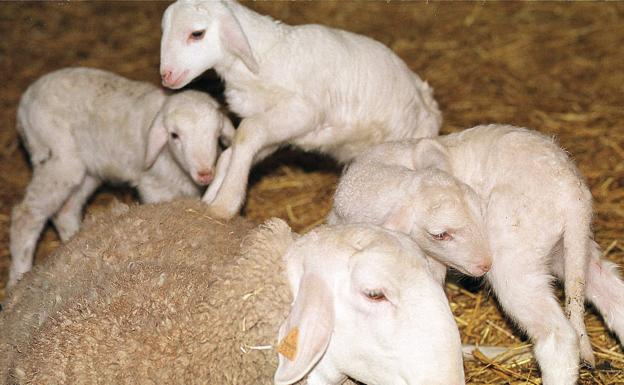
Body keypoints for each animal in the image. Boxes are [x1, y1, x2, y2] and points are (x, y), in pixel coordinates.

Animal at [9, 67, 234, 286]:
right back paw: (16, 278)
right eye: (174, 135)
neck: (175, 163)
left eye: (217, 134)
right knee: (25, 216)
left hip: (88, 169)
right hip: (55, 156)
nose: (205, 174)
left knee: (65, 210)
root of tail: (26, 100)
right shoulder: (153, 186)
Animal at [161, 0, 444, 219]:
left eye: (197, 33)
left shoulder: (304, 112)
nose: (166, 75)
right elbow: (235, 149)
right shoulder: (279, 130)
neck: (265, 56)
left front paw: (224, 204)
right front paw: (210, 198)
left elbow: (247, 132)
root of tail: (430, 106)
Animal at [332, 123, 624, 384]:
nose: (483, 265)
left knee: (558, 335)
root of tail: (572, 193)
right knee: (611, 294)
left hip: (515, 254)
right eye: (440, 234)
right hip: (568, 249)